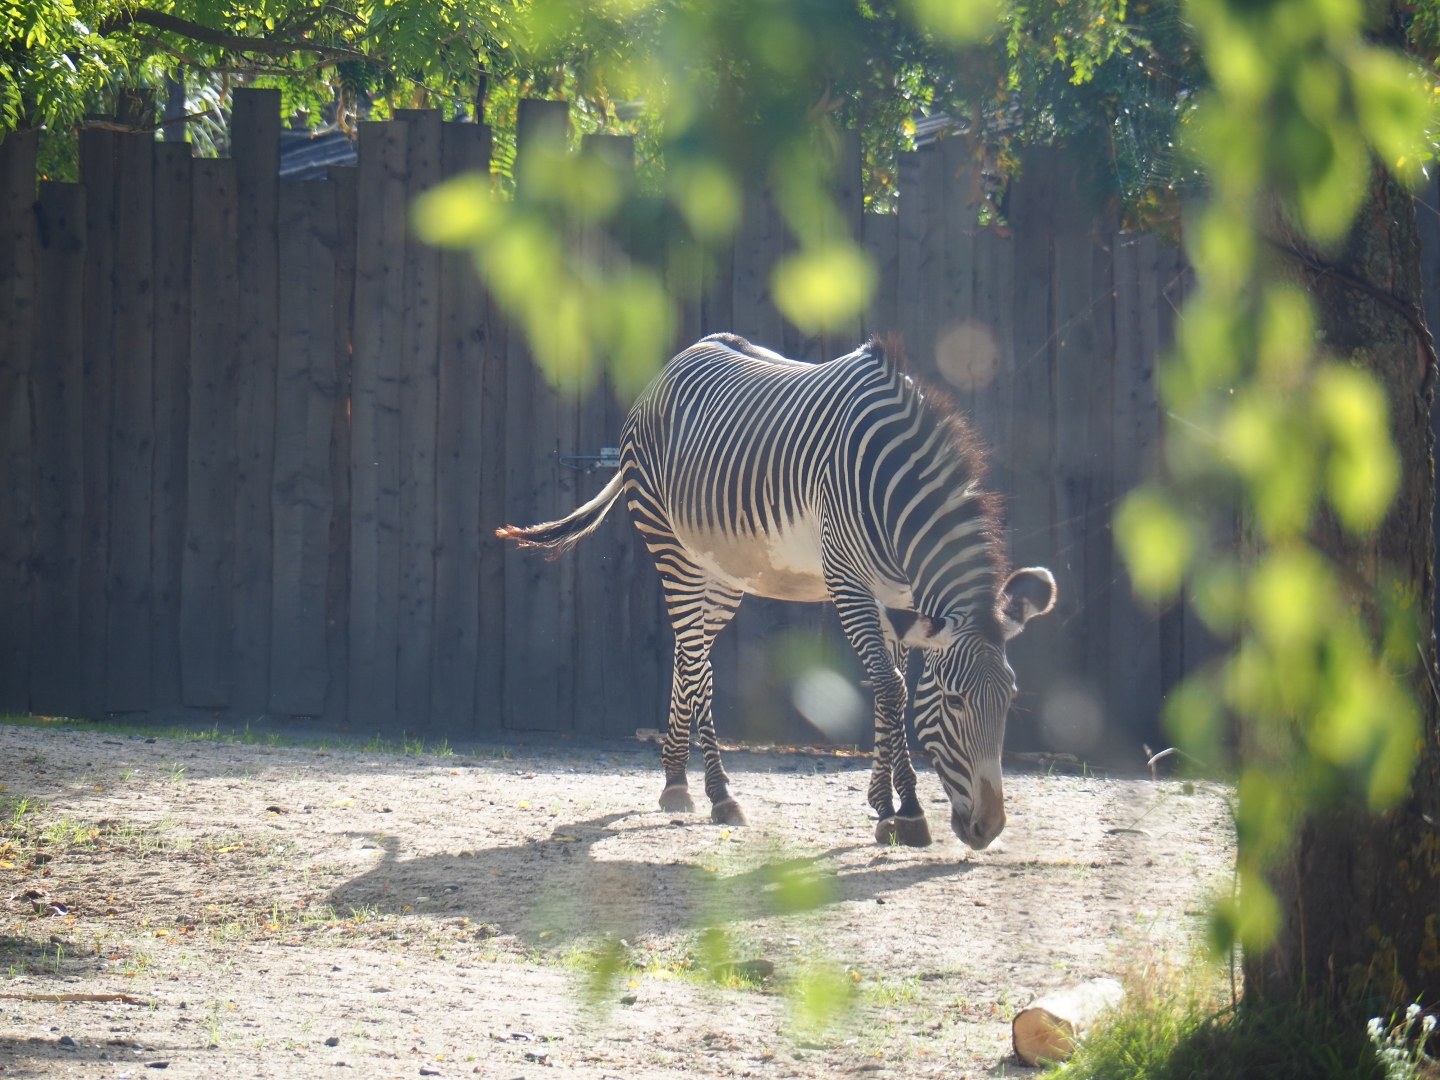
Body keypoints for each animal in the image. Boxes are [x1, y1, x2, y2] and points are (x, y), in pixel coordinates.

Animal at [498, 333, 1055, 849]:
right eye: (955, 702)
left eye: (1010, 698)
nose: (988, 828)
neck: (892, 486)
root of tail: (682, 357)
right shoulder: (849, 583)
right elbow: (891, 687)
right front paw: (903, 809)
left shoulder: (899, 597)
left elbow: (891, 686)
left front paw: (892, 807)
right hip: (671, 546)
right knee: (698, 666)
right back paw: (720, 793)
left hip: (722, 572)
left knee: (689, 655)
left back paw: (676, 780)